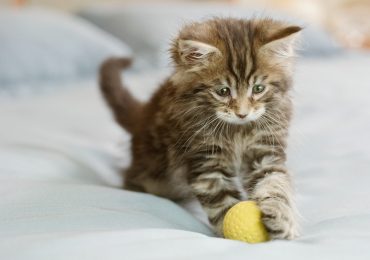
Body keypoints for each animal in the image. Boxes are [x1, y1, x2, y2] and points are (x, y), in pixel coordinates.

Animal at [100, 17, 300, 239]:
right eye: (223, 91)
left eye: (258, 89)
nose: (242, 113)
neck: (238, 130)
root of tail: (143, 115)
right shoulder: (206, 163)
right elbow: (223, 202)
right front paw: (230, 230)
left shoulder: (265, 151)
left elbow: (275, 183)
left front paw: (282, 218)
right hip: (151, 173)